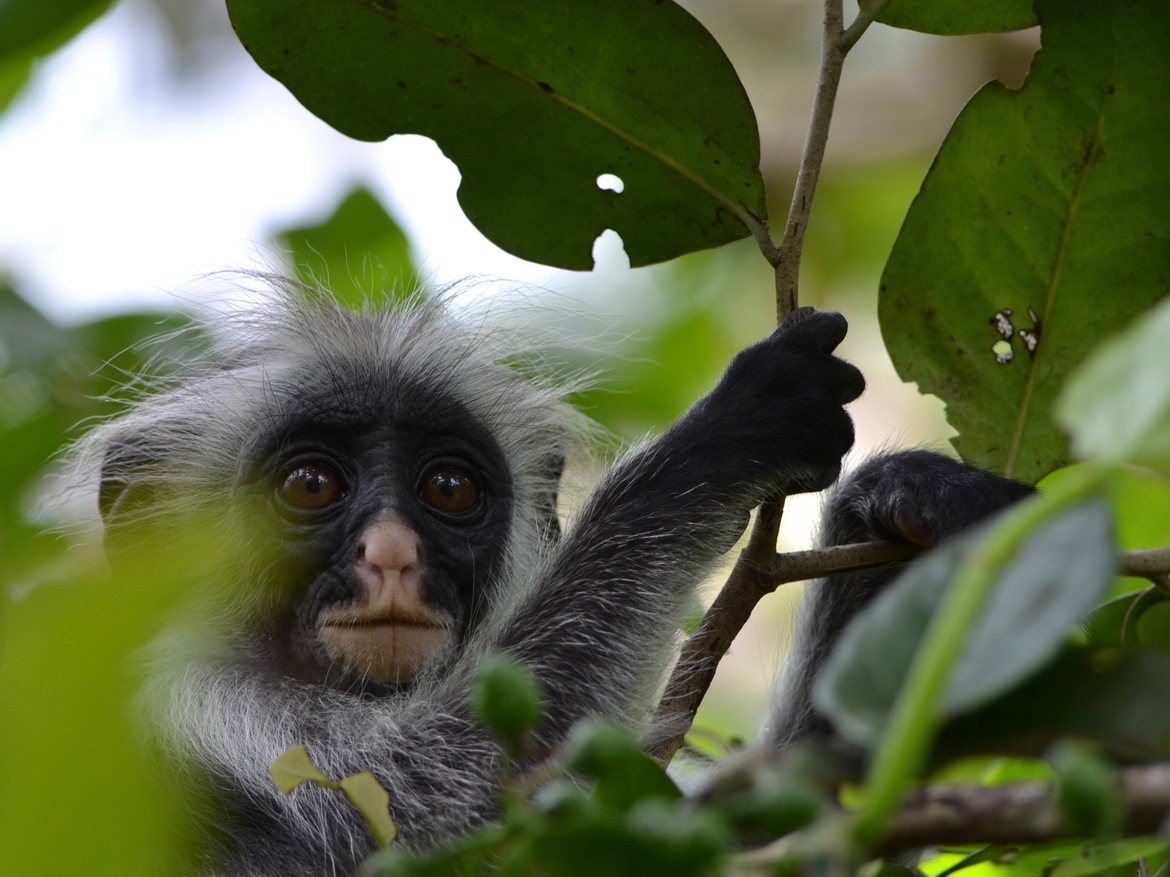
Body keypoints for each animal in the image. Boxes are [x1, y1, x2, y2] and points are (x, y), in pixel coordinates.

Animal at [71, 286, 864, 876]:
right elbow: (438, 798)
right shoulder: (196, 695)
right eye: (311, 484)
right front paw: (722, 438)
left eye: (448, 488)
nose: (391, 555)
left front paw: (883, 508)